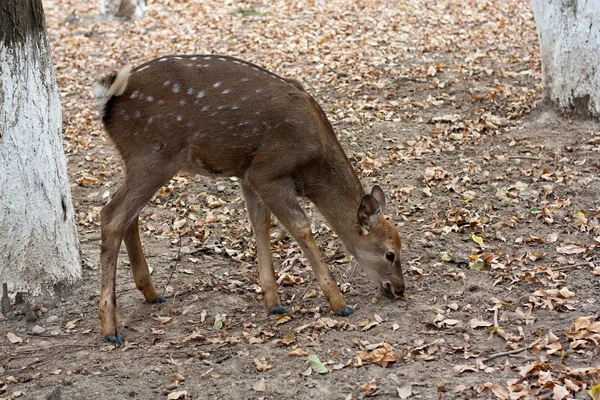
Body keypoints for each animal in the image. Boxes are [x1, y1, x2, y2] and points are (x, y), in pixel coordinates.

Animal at [94, 55, 406, 344]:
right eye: (390, 253)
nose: (399, 288)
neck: (313, 169)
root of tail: (108, 99)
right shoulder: (267, 172)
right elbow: (301, 226)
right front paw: (339, 303)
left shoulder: (247, 176)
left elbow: (260, 223)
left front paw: (274, 303)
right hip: (153, 155)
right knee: (111, 216)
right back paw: (111, 329)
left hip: (141, 162)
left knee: (129, 216)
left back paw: (151, 293)